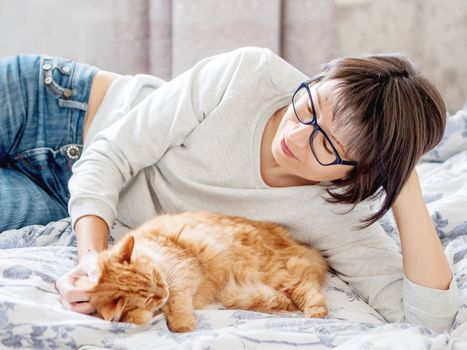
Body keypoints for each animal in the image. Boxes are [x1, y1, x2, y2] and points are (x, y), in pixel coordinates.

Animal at [78, 212, 330, 332]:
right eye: (149, 299)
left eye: (156, 277)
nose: (163, 292)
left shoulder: (182, 270)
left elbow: (177, 304)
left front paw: (182, 325)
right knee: (282, 298)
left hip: (276, 272)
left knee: (309, 290)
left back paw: (315, 313)